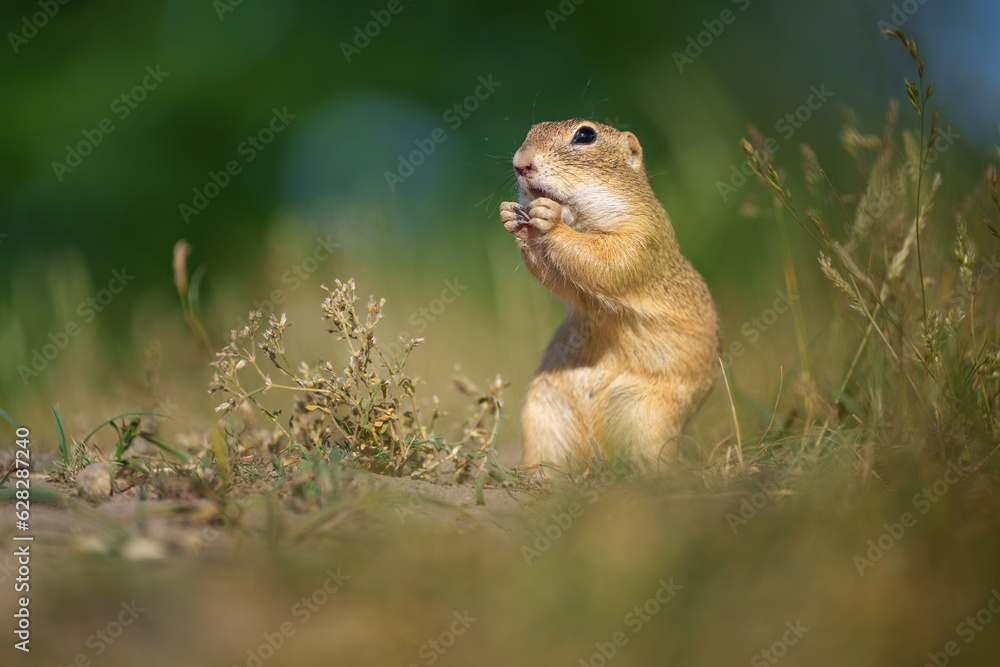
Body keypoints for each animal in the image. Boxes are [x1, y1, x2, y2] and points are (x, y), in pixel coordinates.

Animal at [500, 119, 721, 472]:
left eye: (585, 135)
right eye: (532, 129)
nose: (520, 163)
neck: (580, 220)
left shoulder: (641, 237)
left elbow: (604, 259)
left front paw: (550, 220)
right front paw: (511, 217)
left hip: (646, 415)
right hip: (544, 412)